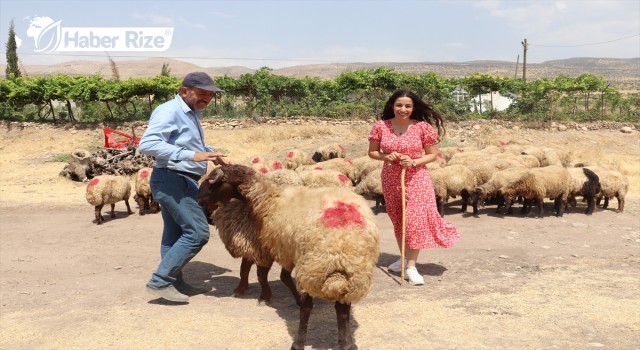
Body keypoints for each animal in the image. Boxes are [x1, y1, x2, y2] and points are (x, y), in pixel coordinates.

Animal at [198, 165, 380, 350]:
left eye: (212, 184)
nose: (198, 199)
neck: (270, 200)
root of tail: (343, 244)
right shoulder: (289, 251)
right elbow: (282, 277)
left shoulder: (283, 251)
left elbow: (280, 277)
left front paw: (275, 298)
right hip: (354, 275)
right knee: (342, 309)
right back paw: (346, 343)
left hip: (311, 269)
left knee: (307, 308)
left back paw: (298, 343)